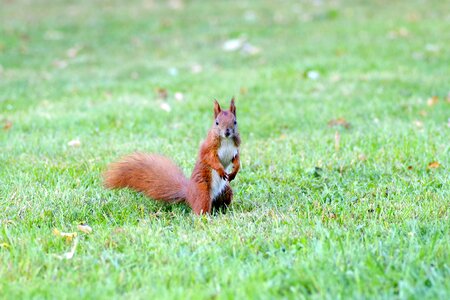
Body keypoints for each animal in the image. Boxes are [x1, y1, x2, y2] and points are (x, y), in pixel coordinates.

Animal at [103, 98, 241, 213]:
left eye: (235, 122)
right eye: (217, 123)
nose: (227, 132)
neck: (226, 140)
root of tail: (189, 193)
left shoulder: (236, 149)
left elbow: (237, 160)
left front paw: (234, 171)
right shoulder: (208, 148)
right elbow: (209, 159)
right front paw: (220, 170)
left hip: (226, 191)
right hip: (202, 193)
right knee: (201, 209)